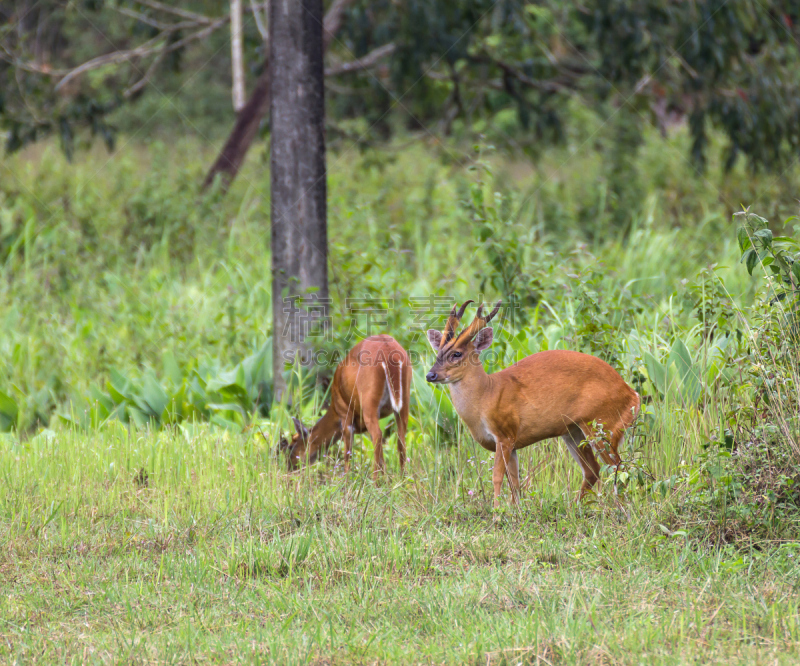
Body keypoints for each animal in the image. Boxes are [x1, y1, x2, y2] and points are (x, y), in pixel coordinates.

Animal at [280, 334, 410, 474]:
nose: (289, 467)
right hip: (404, 400)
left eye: (291, 446)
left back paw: (376, 478)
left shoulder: (345, 415)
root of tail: (389, 352)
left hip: (369, 401)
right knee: (400, 438)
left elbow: (348, 454)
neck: (334, 411)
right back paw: (402, 476)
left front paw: (346, 477)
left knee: (378, 436)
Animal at [428, 298, 640, 500]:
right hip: (573, 431)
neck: (487, 395)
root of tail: (633, 396)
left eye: (457, 353)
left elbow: (497, 477)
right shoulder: (512, 443)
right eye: (437, 352)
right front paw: (516, 510)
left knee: (619, 468)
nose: (430, 375)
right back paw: (576, 506)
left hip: (603, 426)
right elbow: (515, 482)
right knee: (593, 470)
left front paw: (496, 511)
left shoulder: (505, 433)